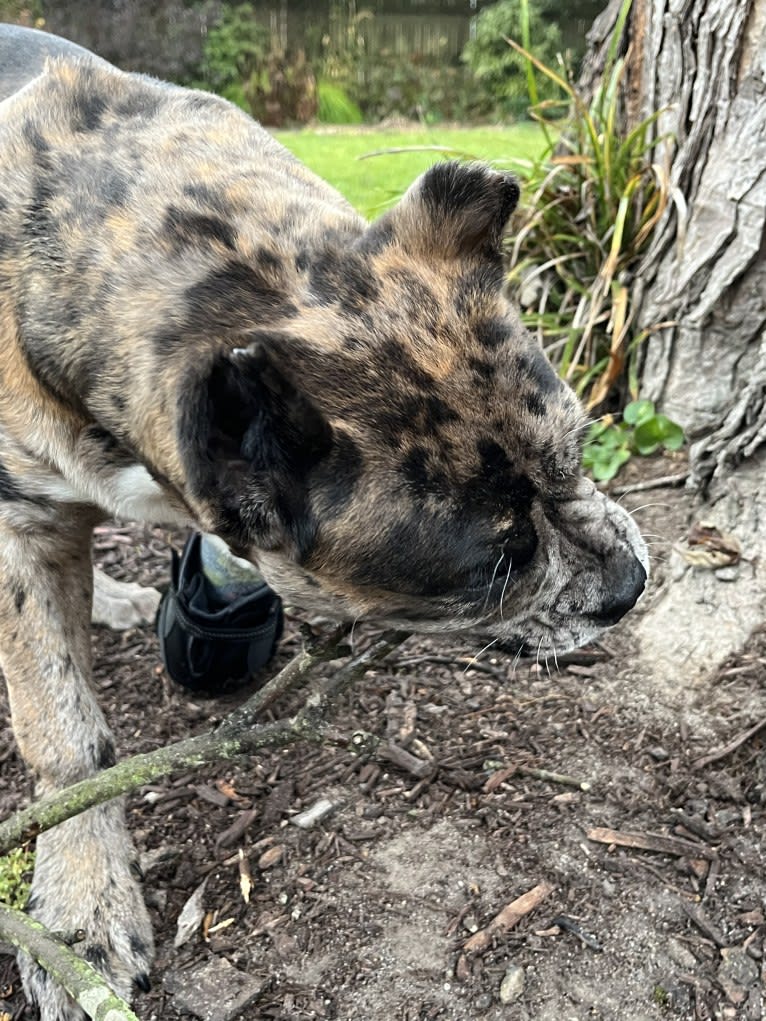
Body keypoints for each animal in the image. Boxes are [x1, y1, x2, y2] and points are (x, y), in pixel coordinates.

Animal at [0, 23, 649, 1021]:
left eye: (579, 448)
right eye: (493, 568)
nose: (629, 587)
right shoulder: (21, 529)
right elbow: (66, 732)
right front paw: (80, 905)